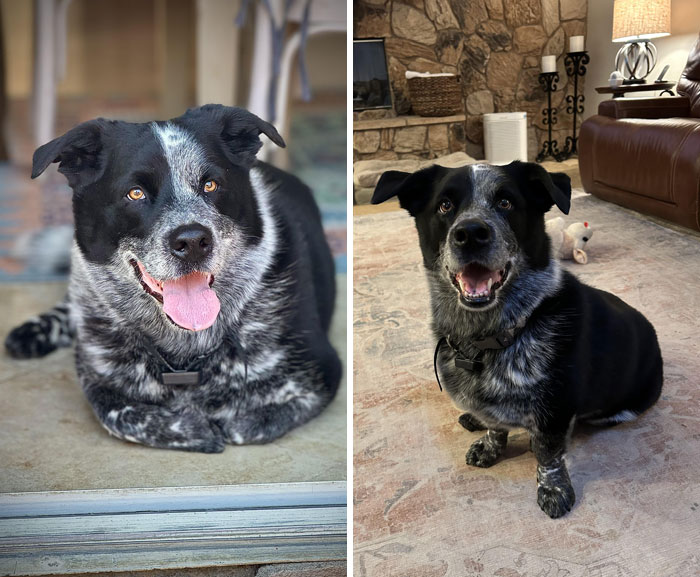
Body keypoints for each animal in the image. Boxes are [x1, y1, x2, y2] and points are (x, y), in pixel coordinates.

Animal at [4, 106, 344, 452]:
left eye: (211, 185)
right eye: (135, 193)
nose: (192, 241)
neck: (188, 351)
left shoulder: (322, 373)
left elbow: (247, 426)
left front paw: (227, 418)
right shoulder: (97, 380)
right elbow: (117, 415)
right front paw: (197, 429)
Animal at [372, 161, 660, 516]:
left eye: (506, 202)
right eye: (445, 205)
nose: (471, 233)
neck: (488, 338)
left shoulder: (555, 412)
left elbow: (548, 454)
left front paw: (553, 488)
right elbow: (496, 427)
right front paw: (491, 445)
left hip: (621, 408)